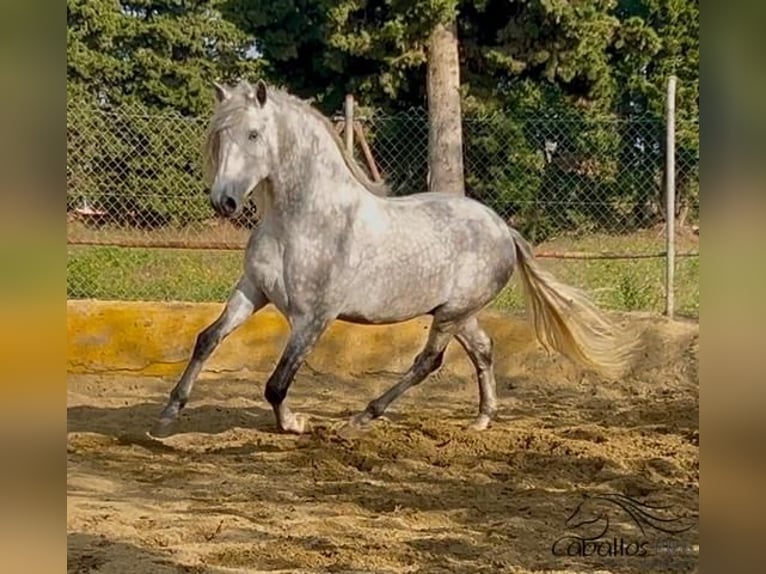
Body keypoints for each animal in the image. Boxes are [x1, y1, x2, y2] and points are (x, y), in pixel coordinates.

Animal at [154, 79, 636, 434]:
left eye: (253, 135)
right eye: (221, 136)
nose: (224, 202)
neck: (304, 219)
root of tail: (503, 229)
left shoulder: (314, 317)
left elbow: (277, 383)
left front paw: (294, 424)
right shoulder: (254, 291)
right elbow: (207, 339)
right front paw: (169, 411)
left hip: (452, 314)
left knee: (428, 362)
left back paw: (362, 417)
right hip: (457, 313)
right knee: (482, 350)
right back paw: (481, 420)